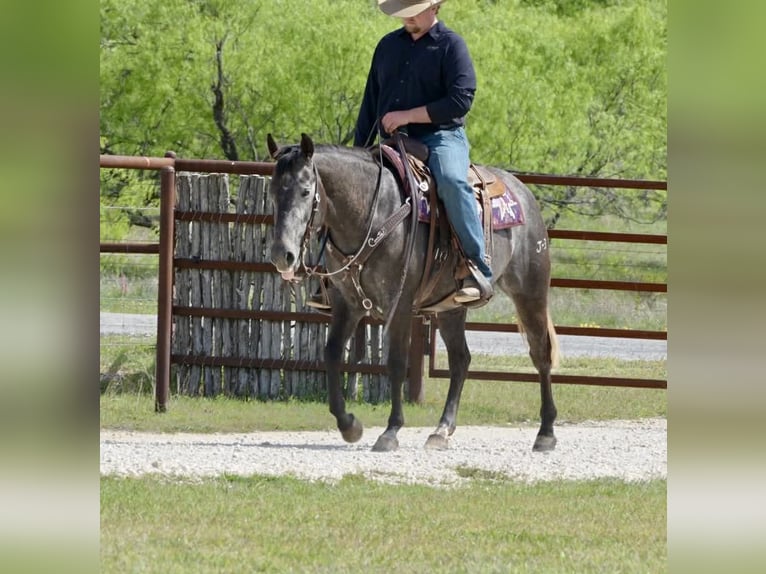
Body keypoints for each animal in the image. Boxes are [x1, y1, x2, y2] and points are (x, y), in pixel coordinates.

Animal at [267, 133, 559, 452]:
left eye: (306, 191)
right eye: (272, 190)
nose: (283, 255)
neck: (372, 211)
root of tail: (523, 193)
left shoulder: (400, 304)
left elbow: (396, 362)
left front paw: (390, 431)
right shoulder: (347, 304)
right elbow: (332, 354)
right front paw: (349, 425)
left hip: (530, 292)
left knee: (540, 353)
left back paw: (546, 432)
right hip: (451, 308)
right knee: (461, 360)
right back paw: (441, 430)